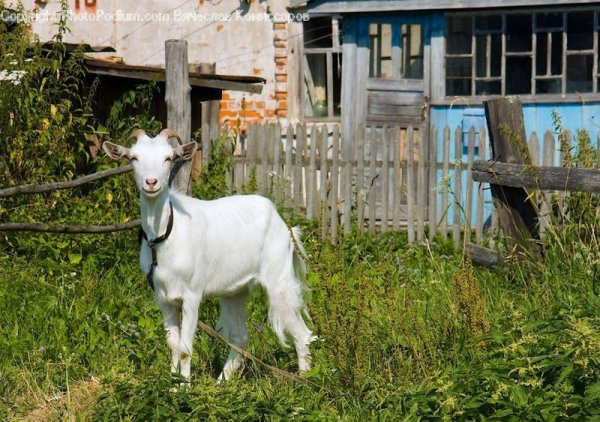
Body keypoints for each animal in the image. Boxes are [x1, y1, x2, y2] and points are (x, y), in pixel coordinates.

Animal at [102, 129, 314, 382]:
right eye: (134, 158)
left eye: (168, 158)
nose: (151, 182)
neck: (165, 235)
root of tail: (284, 224)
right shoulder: (163, 298)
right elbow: (173, 345)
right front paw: (173, 383)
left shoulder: (192, 295)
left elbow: (185, 348)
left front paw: (184, 386)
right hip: (235, 292)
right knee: (240, 338)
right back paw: (222, 382)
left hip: (279, 279)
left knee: (302, 333)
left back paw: (305, 380)